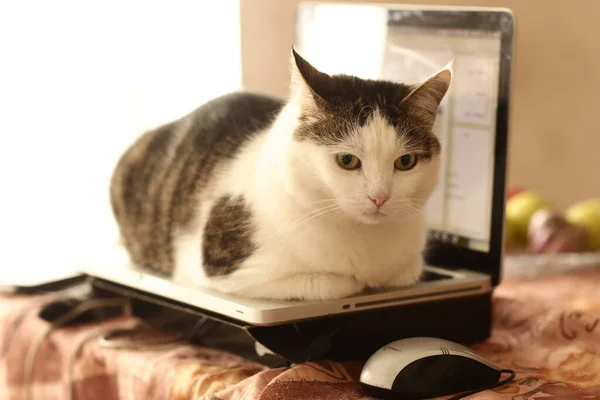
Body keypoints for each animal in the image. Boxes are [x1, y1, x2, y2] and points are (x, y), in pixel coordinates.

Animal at [110, 47, 452, 300]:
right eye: (347, 160)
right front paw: (358, 282)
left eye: (405, 162)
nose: (380, 197)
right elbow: (335, 283)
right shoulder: (227, 271)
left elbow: (402, 274)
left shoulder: (410, 267)